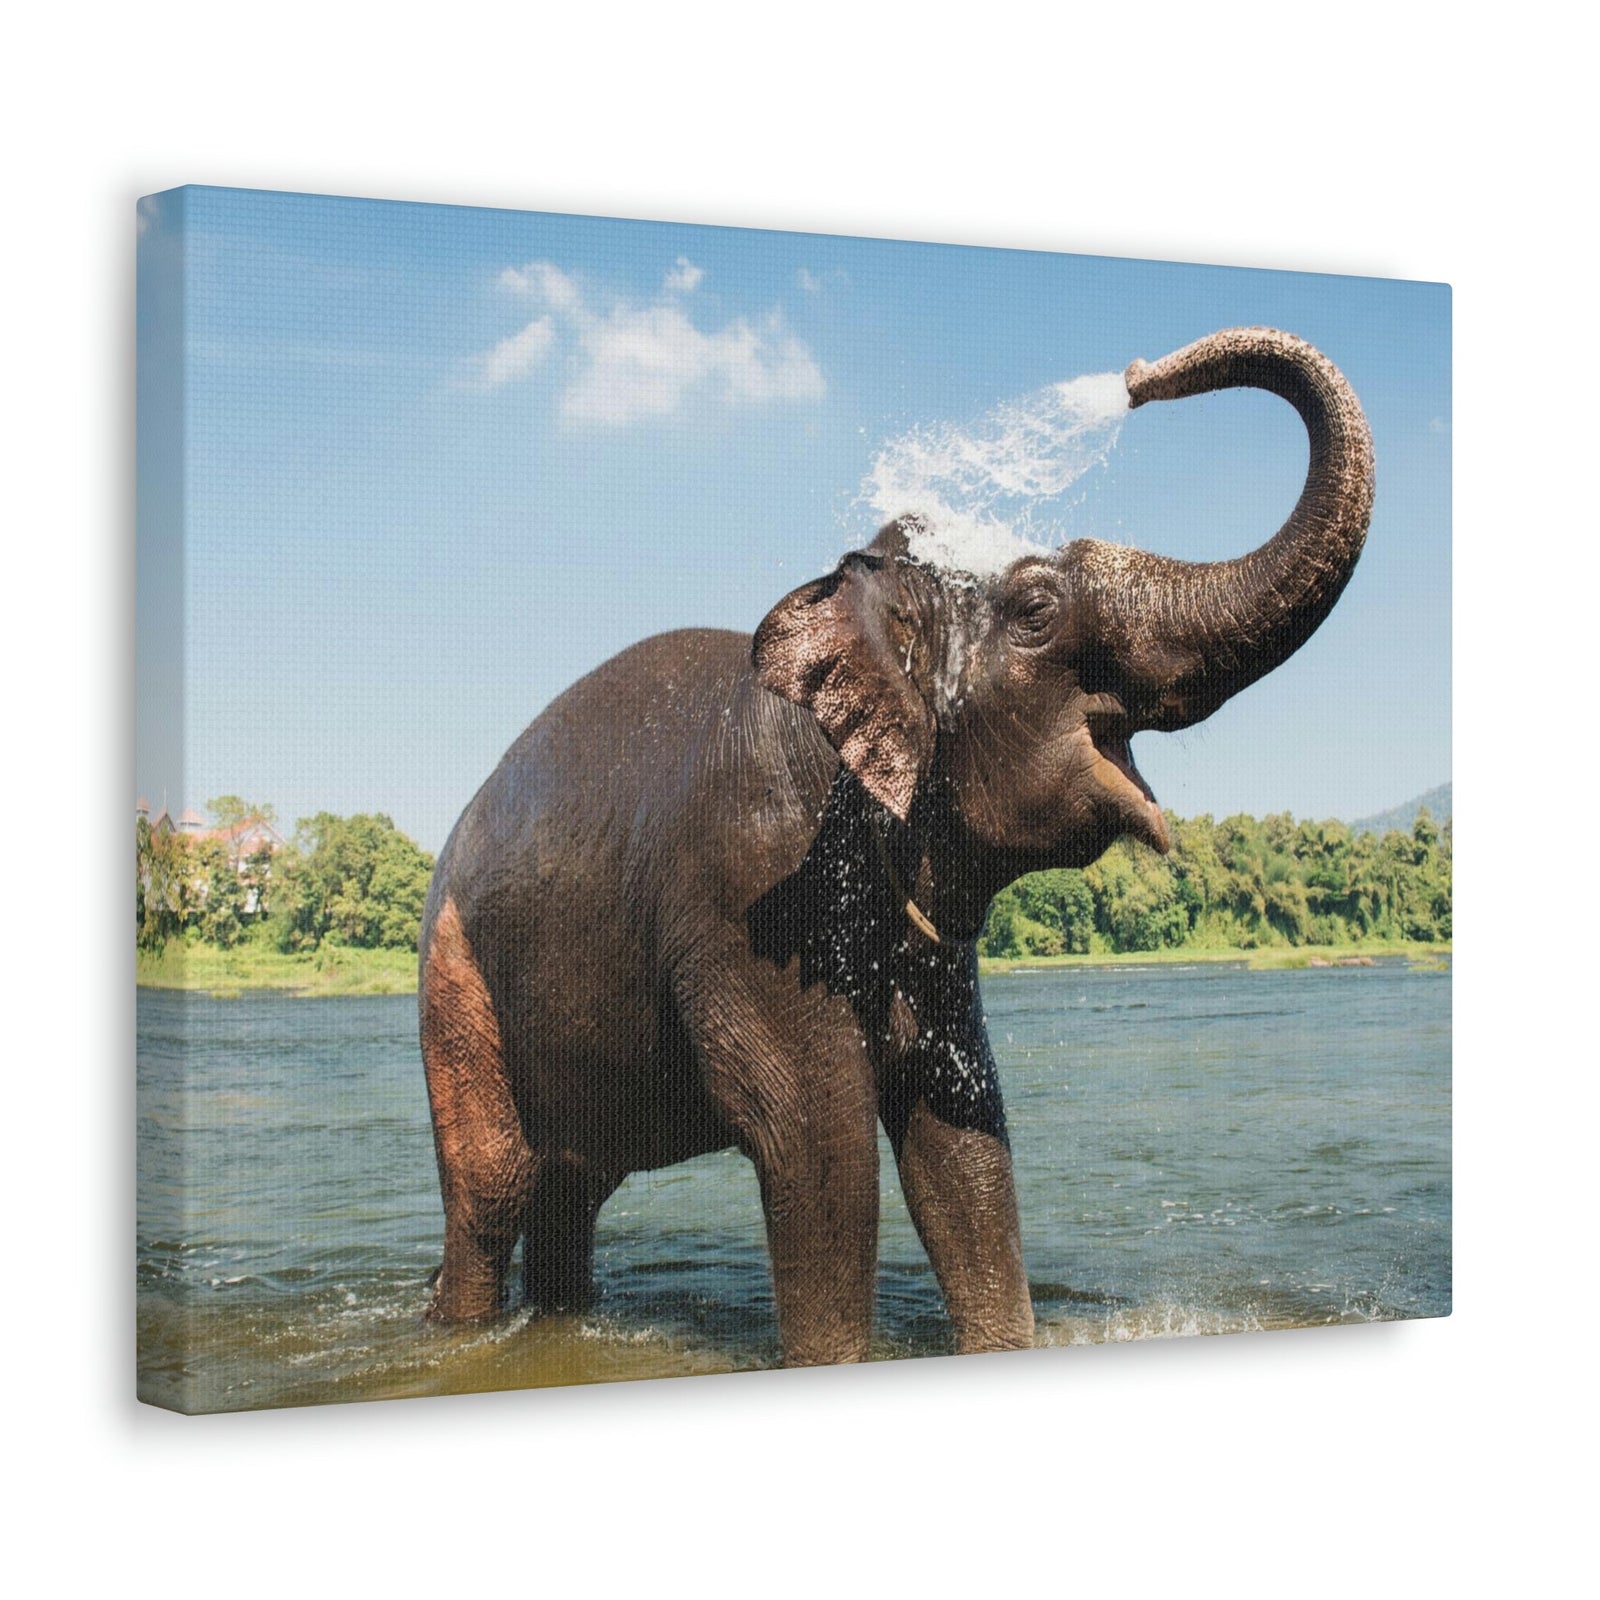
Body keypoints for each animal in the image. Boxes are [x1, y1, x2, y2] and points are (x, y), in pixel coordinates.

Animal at [418, 325, 1375, 1365]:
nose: (1135, 377)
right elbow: (816, 1144)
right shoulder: (754, 885)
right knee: (493, 1189)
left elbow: (961, 1136)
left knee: (571, 1188)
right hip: (453, 978)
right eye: (1036, 609)